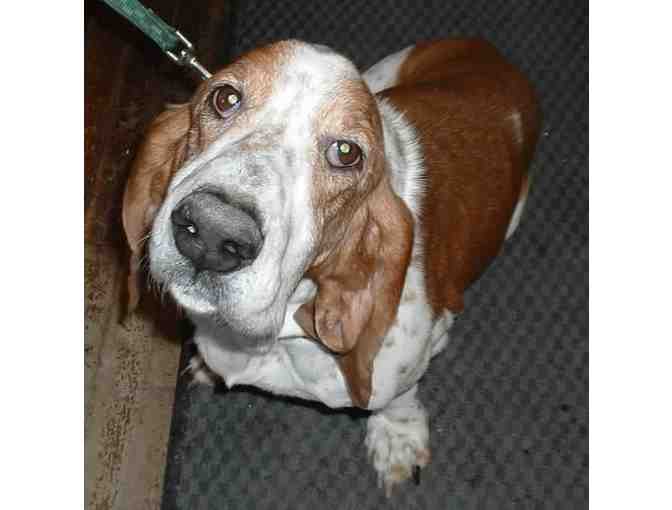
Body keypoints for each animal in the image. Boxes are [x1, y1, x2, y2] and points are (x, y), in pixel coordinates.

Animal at [122, 38, 539, 493]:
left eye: (346, 152)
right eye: (225, 98)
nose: (214, 231)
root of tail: (489, 52)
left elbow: (398, 399)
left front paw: (397, 439)